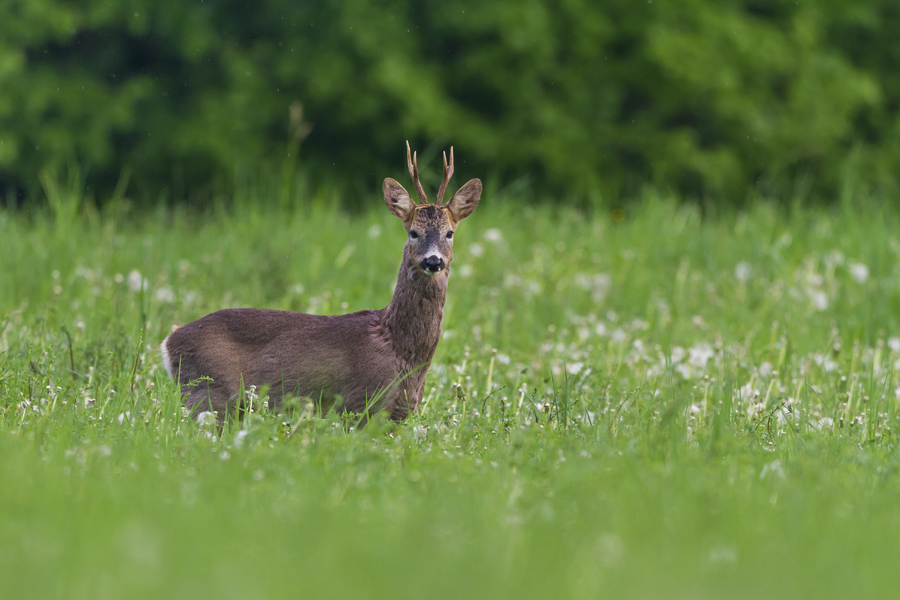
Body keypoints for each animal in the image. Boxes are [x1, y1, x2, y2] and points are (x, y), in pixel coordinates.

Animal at [162, 142, 486, 422]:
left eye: (449, 233)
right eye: (413, 232)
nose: (433, 261)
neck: (398, 347)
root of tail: (169, 342)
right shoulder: (360, 403)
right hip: (209, 393)